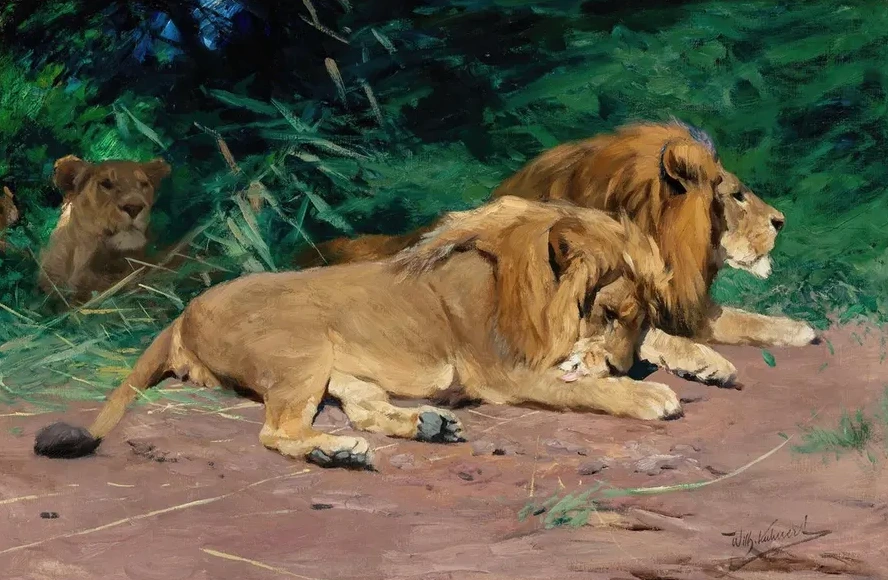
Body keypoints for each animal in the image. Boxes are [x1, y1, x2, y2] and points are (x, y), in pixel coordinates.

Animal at [34, 199, 681, 471]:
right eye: (611, 313)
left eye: (643, 318)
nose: (623, 366)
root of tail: (182, 313)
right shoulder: (502, 373)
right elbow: (582, 386)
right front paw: (646, 393)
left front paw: (669, 363)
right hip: (301, 345)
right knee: (277, 431)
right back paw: (337, 452)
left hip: (333, 366)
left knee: (365, 410)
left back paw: (425, 425)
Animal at [294, 120, 818, 386]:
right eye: (736, 195)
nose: (782, 221)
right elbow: (646, 333)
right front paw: (709, 362)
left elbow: (740, 317)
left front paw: (797, 328)